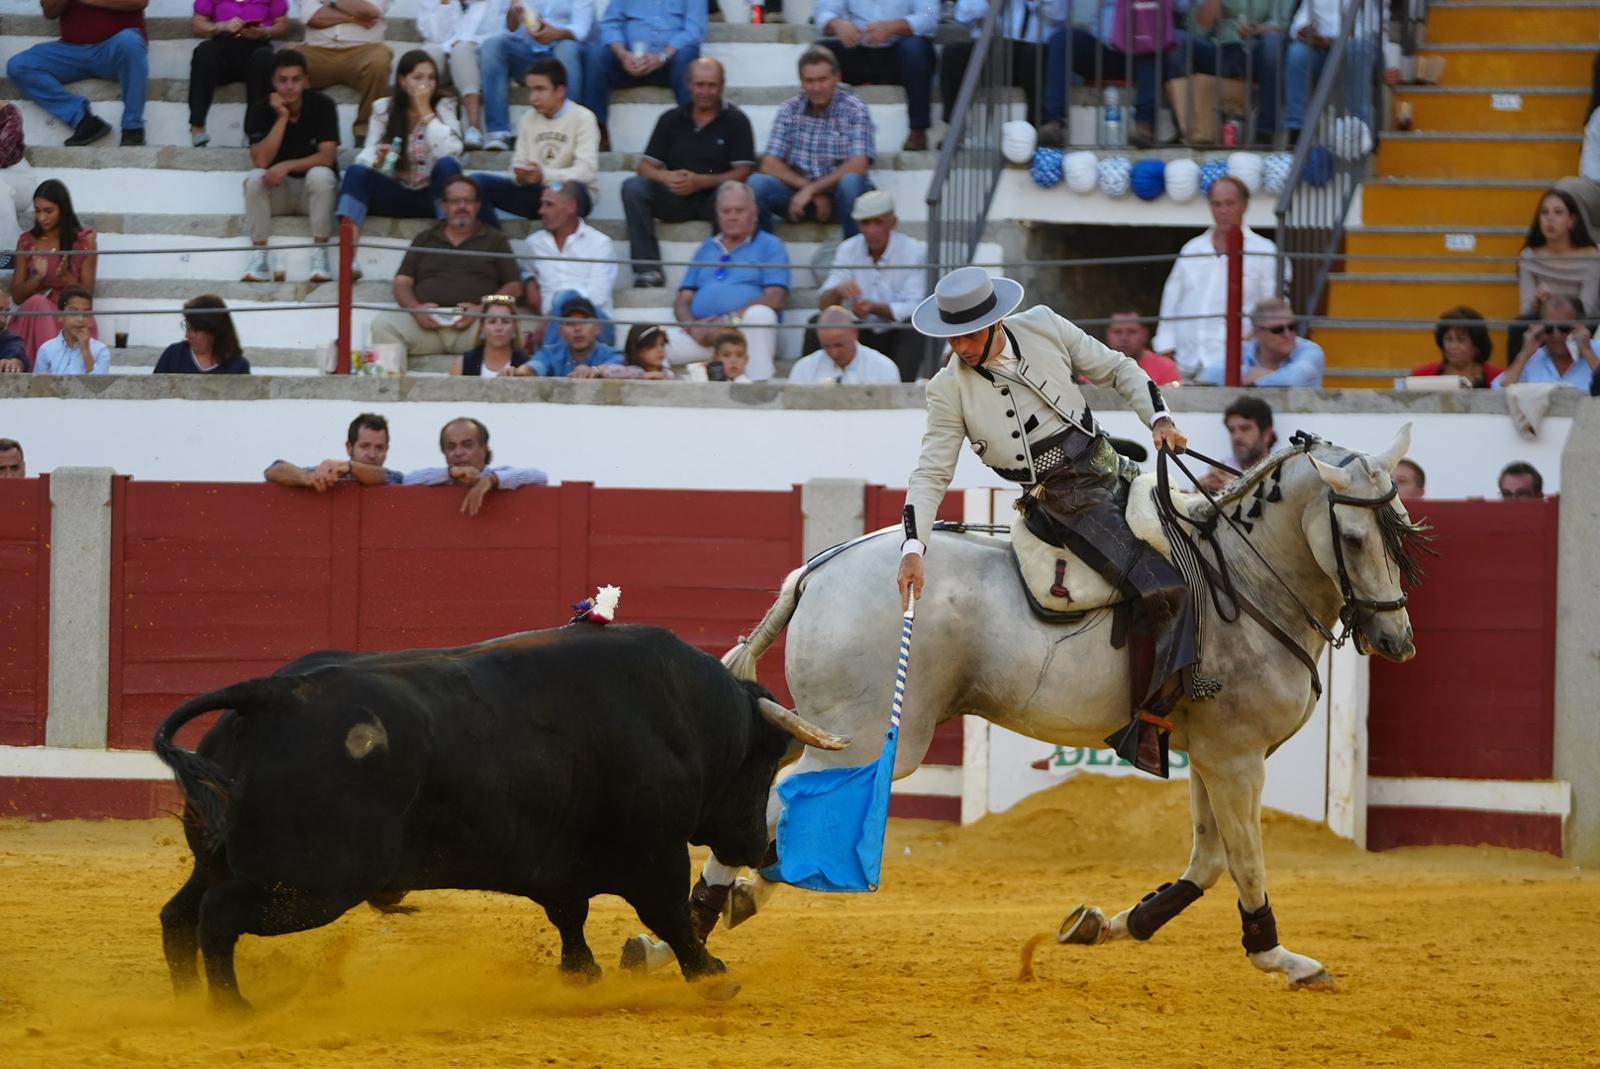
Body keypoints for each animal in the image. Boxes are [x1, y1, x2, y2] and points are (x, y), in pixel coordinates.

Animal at [154, 620, 844, 1004]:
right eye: (765, 761)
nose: (762, 847)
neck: (685, 715)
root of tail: (271, 695)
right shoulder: (653, 854)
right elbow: (669, 916)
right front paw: (712, 976)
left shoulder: (561, 860)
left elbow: (569, 914)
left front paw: (581, 974)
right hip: (311, 884)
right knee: (216, 919)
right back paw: (232, 1010)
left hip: (226, 862)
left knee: (179, 915)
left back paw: (188, 1003)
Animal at [630, 422, 1420, 985]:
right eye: (1353, 536)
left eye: (1404, 529)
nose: (1396, 637)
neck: (1247, 583)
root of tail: (816, 569)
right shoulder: (1236, 757)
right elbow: (1246, 861)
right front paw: (1282, 959)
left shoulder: (1211, 754)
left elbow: (1208, 859)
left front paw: (1105, 923)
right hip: (874, 737)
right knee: (774, 798)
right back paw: (698, 925)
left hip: (845, 730)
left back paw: (693, 927)